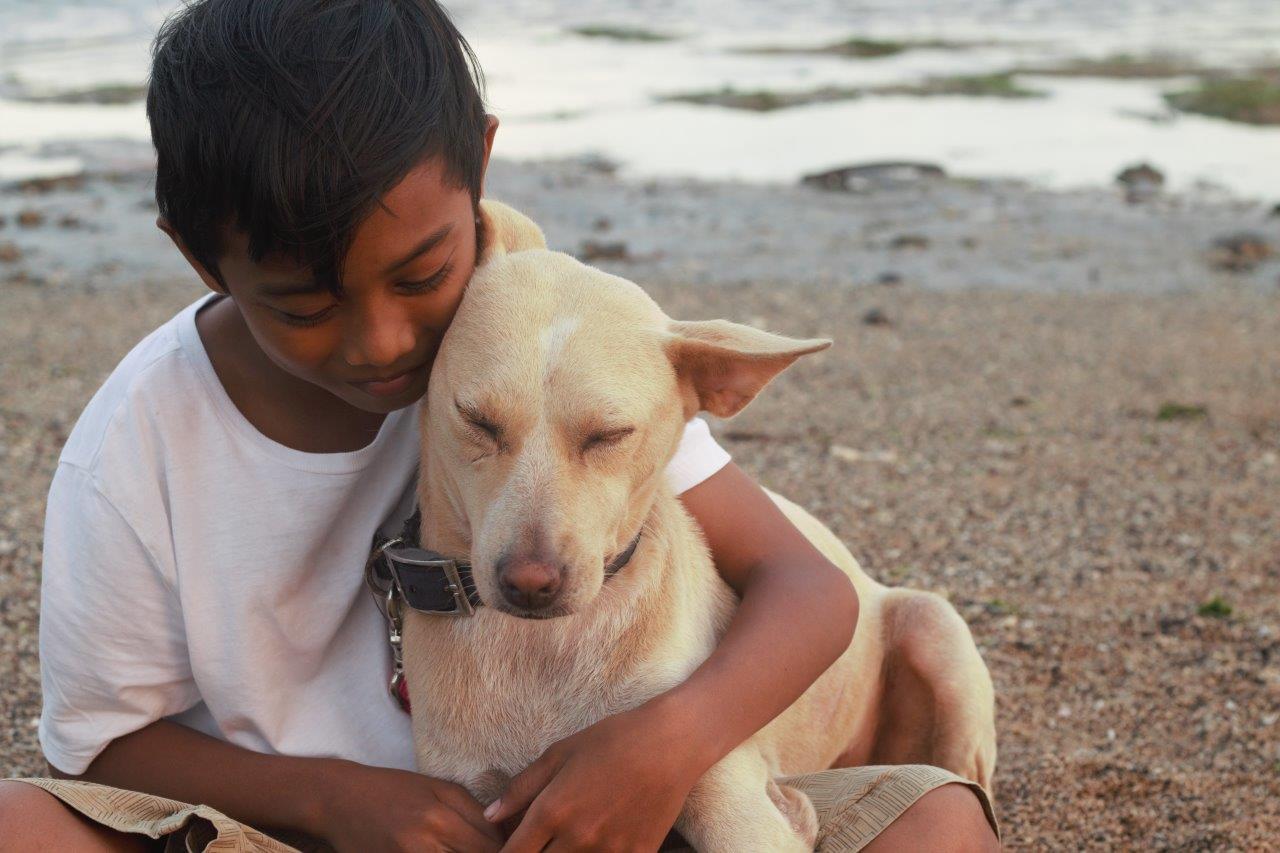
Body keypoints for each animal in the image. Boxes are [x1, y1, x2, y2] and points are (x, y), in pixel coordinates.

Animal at [401, 201, 998, 850]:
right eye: (476, 421)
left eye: (609, 435)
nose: (530, 583)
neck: (542, 654)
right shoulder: (474, 797)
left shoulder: (699, 765)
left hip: (937, 631)